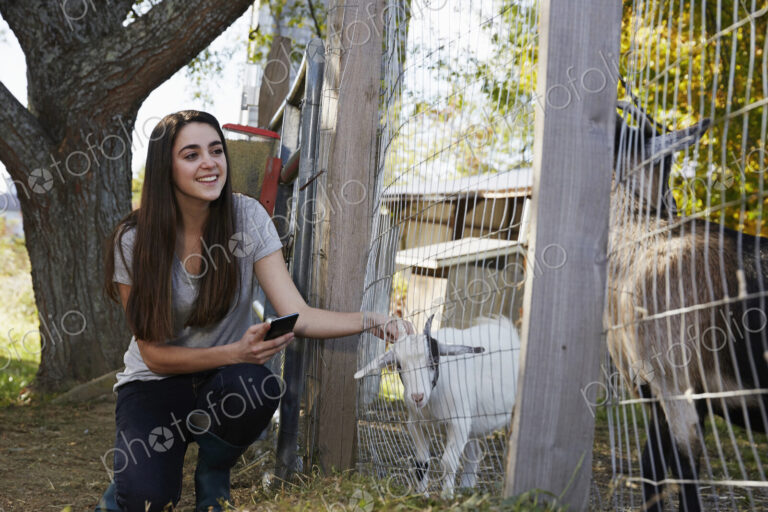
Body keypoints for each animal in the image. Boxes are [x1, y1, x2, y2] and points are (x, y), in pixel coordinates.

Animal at [355, 315, 520, 497]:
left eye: (433, 360)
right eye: (399, 365)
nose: (417, 397)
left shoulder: (458, 423)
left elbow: (448, 462)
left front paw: (446, 497)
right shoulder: (416, 424)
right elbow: (421, 463)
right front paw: (422, 495)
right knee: (474, 453)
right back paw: (466, 489)